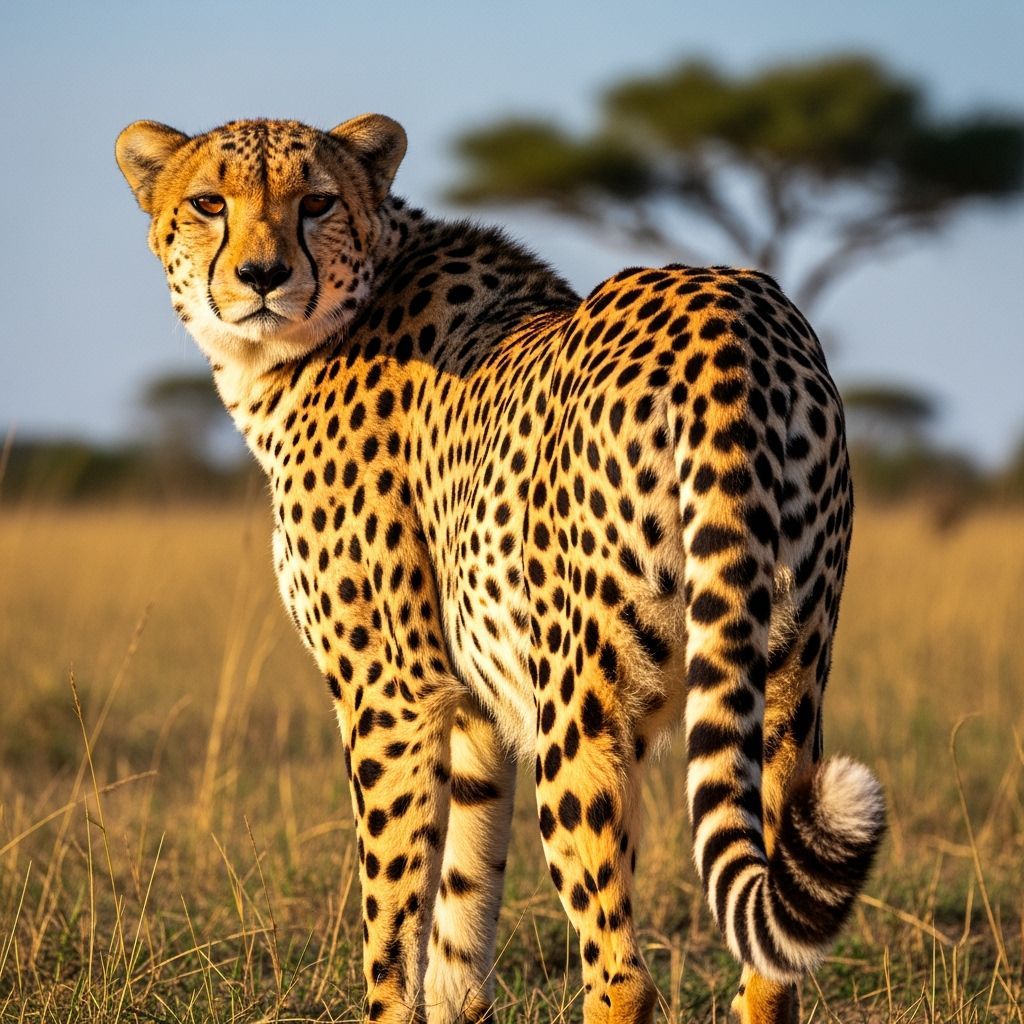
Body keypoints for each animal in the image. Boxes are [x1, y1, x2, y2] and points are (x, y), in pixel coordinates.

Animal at [116, 113, 885, 1024]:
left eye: (317, 202)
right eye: (209, 202)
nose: (262, 276)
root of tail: (729, 307)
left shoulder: (390, 694)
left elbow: (392, 918)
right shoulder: (479, 704)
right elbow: (462, 907)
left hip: (583, 707)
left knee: (621, 973)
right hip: (785, 680)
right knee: (773, 965)